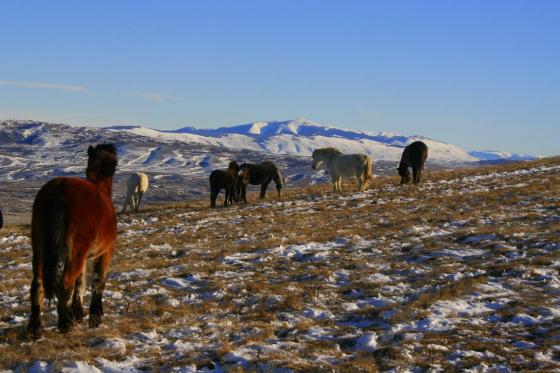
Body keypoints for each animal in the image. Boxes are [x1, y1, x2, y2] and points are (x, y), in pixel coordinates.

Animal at [27, 144, 117, 336]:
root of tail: (57, 193)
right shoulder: (105, 252)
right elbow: (98, 281)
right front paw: (95, 317)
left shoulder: (83, 257)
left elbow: (80, 282)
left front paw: (78, 313)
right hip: (75, 252)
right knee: (65, 283)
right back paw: (65, 324)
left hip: (40, 249)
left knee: (37, 285)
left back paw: (35, 327)